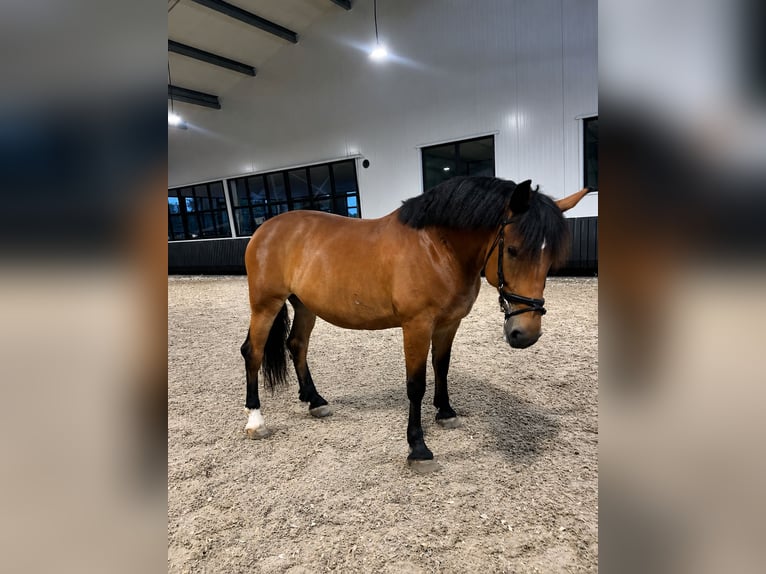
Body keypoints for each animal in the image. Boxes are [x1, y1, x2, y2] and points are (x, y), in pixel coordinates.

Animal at [240, 177, 591, 472]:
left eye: (550, 259)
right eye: (514, 250)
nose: (525, 334)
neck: (437, 248)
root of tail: (265, 229)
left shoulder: (448, 324)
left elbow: (441, 367)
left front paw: (446, 413)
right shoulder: (417, 326)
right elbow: (416, 384)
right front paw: (418, 448)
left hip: (305, 306)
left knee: (297, 345)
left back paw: (314, 401)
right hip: (265, 304)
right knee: (253, 352)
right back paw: (256, 421)